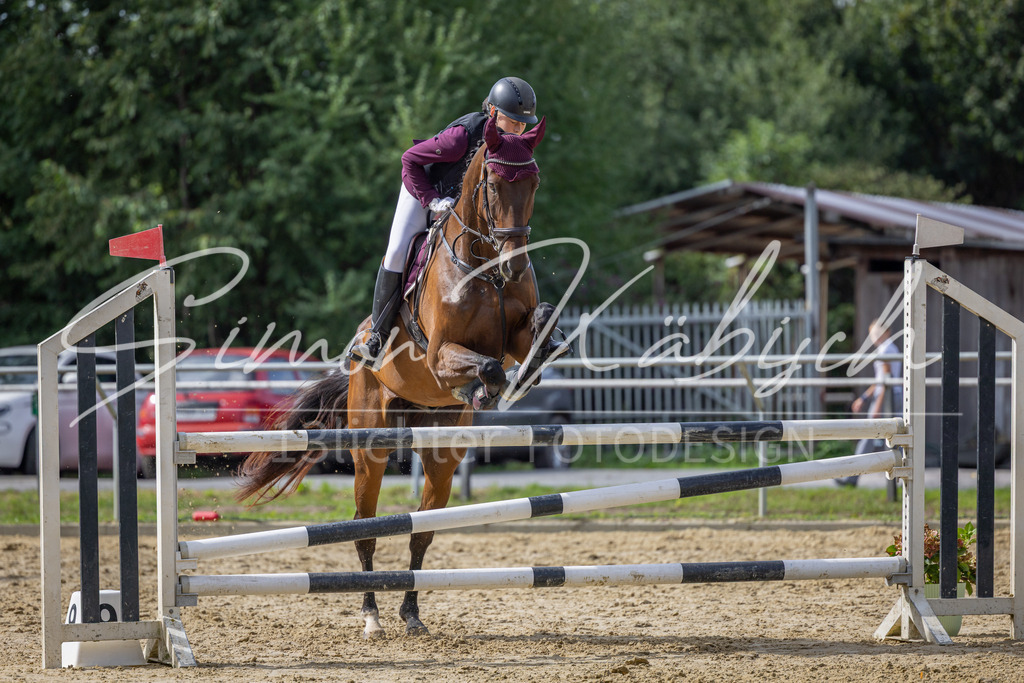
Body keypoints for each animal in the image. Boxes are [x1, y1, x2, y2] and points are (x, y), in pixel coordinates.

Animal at [237, 114, 565, 639]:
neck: (484, 266)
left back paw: (410, 613)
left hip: (439, 452)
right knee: (364, 527)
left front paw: (533, 362)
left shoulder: (511, 336)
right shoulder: (439, 354)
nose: (514, 265)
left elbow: (535, 330)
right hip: (370, 448)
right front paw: (483, 390)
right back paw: (371, 615)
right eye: (494, 184)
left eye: (534, 183)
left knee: (421, 531)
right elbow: (487, 364)